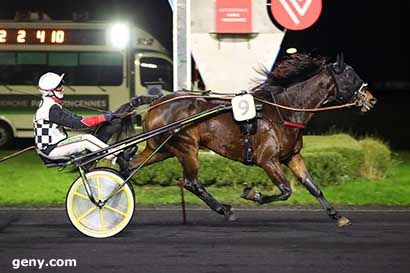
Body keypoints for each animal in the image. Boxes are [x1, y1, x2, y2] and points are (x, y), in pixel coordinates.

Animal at [125, 53, 378, 225]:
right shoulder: (267, 160)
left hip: (162, 148)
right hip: (186, 147)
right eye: (351, 76)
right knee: (191, 182)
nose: (371, 99)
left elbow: (313, 186)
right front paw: (252, 194)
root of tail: (157, 101)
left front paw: (337, 215)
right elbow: (286, 190)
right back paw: (224, 209)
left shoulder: (292, 156)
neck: (283, 112)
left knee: (130, 165)